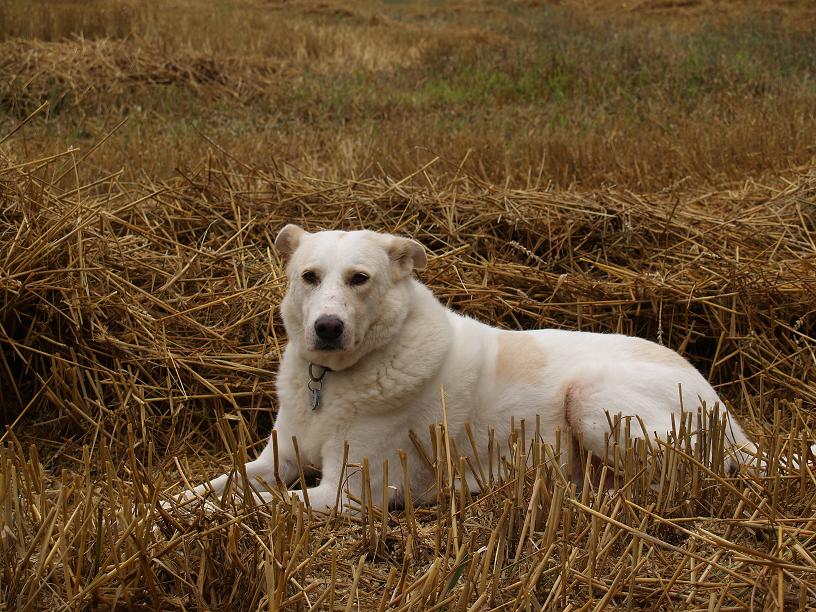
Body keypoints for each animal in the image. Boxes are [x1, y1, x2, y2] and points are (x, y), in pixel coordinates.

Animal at [171, 225, 752, 512]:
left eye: (360, 278)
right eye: (309, 276)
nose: (328, 328)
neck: (333, 379)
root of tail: (724, 411)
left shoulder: (348, 495)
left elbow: (249, 507)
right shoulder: (275, 461)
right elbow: (213, 488)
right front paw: (159, 511)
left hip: (592, 397)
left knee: (674, 483)